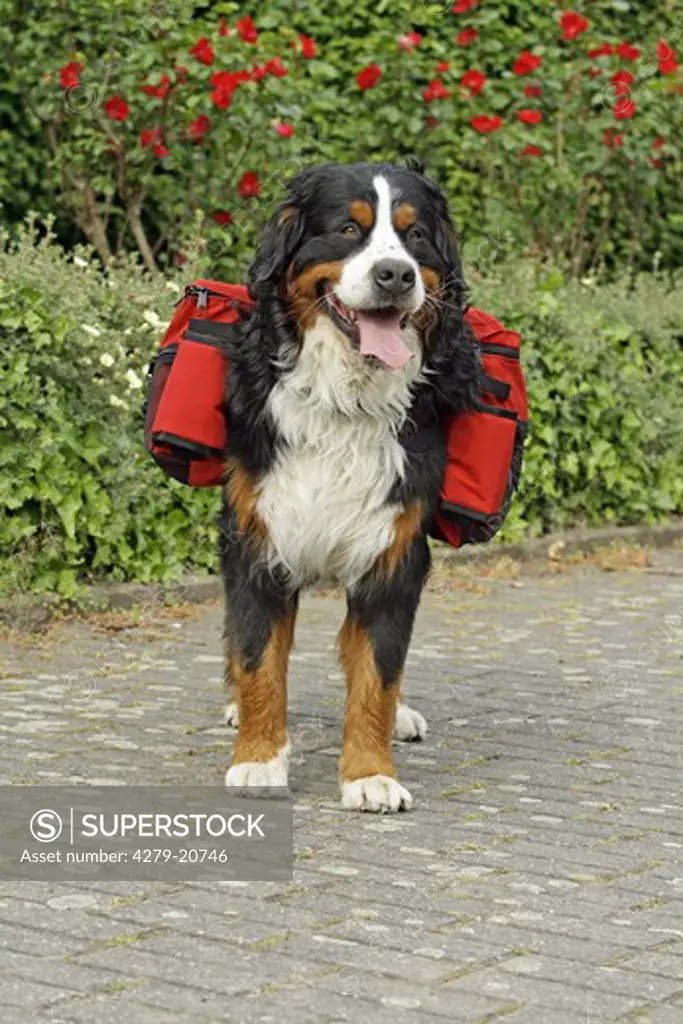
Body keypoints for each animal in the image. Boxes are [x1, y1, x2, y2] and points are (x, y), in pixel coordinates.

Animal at [219, 159, 481, 811]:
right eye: (347, 230)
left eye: (415, 236)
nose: (396, 275)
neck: (346, 401)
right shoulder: (257, 539)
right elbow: (259, 658)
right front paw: (258, 759)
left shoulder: (394, 552)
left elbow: (377, 673)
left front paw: (369, 773)